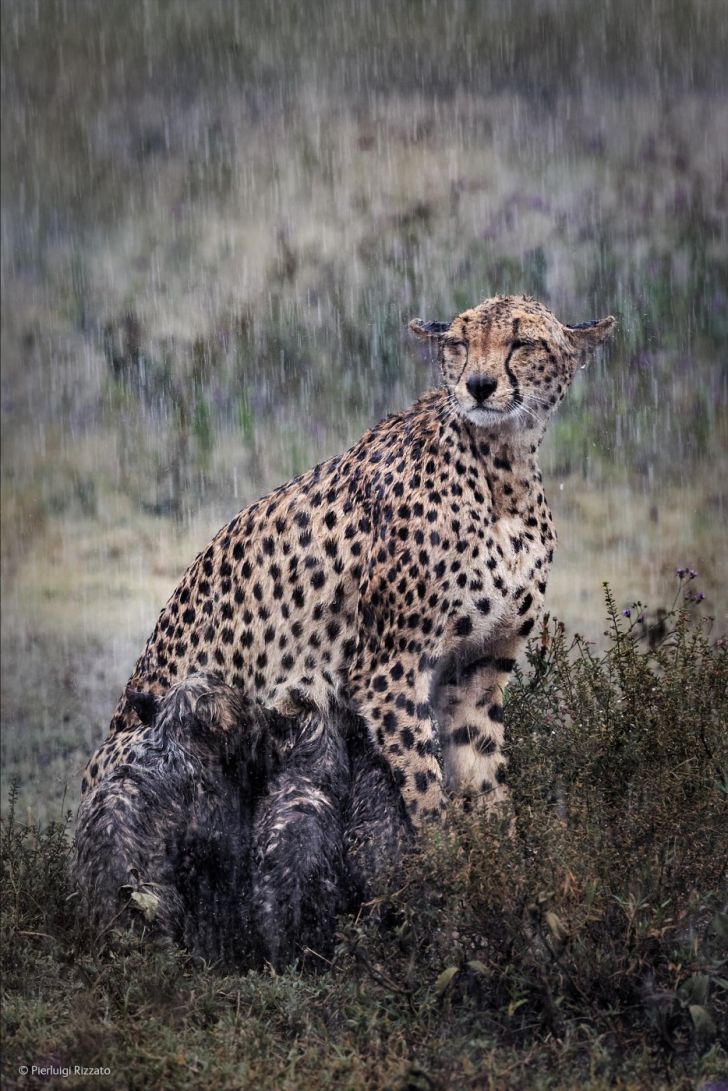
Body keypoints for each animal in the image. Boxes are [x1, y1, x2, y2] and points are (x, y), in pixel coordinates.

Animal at [84, 294, 615, 820]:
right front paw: (439, 841)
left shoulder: (479, 665)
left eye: (522, 342)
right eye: (460, 344)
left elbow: (483, 778)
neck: (503, 466)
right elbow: (425, 789)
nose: (479, 386)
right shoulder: (389, 670)